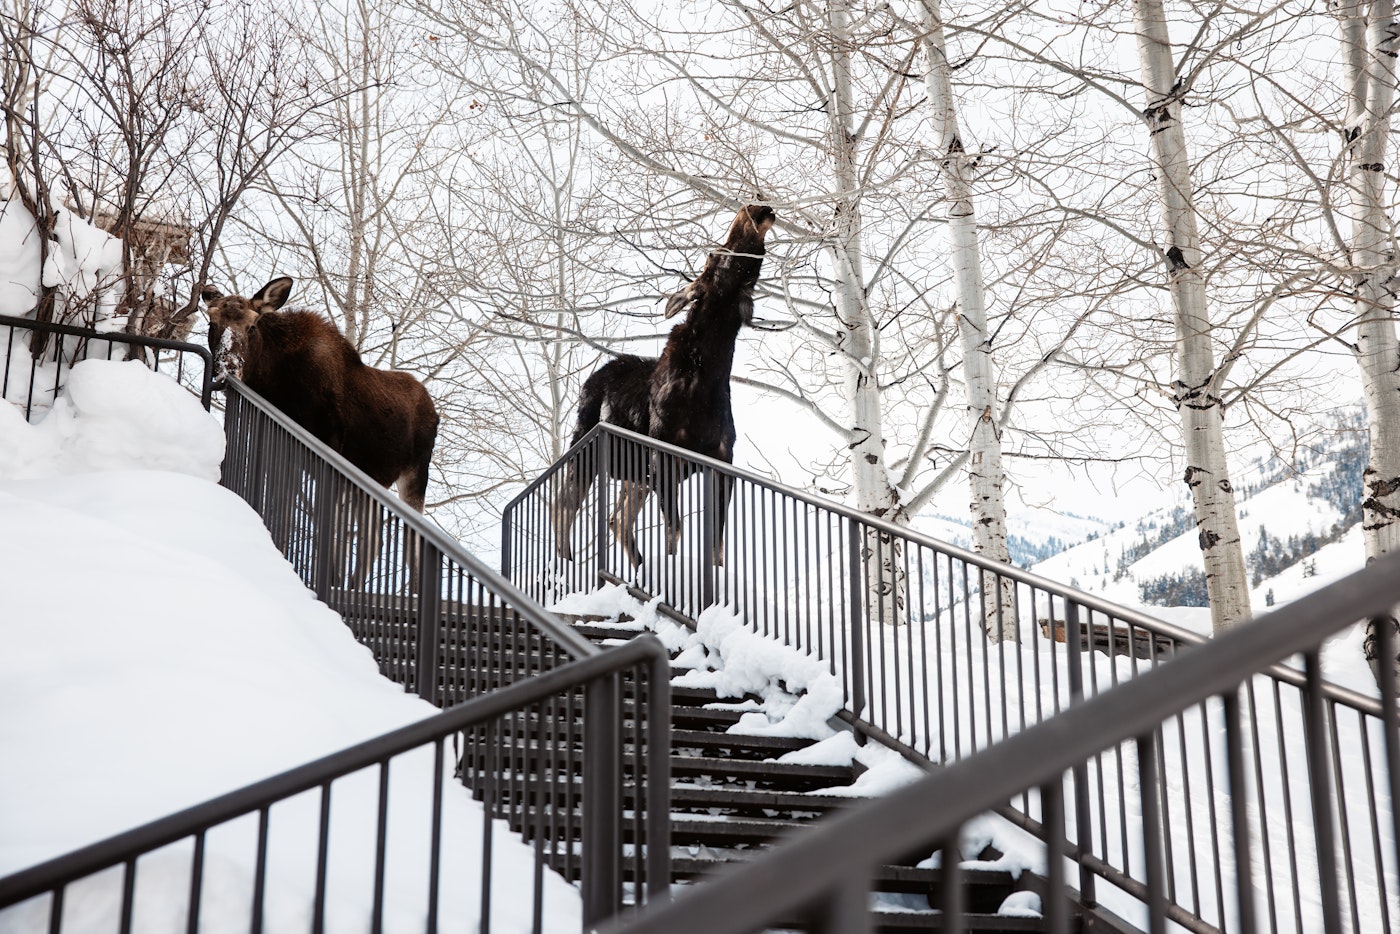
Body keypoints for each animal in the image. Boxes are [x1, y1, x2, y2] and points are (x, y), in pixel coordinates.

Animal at [552, 203, 776, 567]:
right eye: (716, 254)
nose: (755, 208)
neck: (703, 384)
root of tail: (591, 379)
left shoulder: (722, 458)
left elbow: (717, 542)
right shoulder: (663, 457)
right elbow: (675, 531)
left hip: (634, 474)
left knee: (617, 519)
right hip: (585, 446)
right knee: (564, 506)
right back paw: (566, 563)